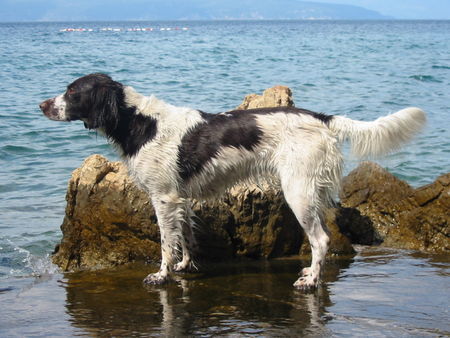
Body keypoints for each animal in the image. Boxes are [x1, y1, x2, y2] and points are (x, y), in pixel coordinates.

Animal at [39, 74, 426, 290]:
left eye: (72, 92)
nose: (42, 105)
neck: (141, 122)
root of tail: (322, 118)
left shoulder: (163, 197)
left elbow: (165, 244)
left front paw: (162, 276)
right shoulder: (181, 198)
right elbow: (186, 237)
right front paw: (184, 268)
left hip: (297, 193)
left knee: (321, 239)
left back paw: (311, 281)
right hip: (310, 192)